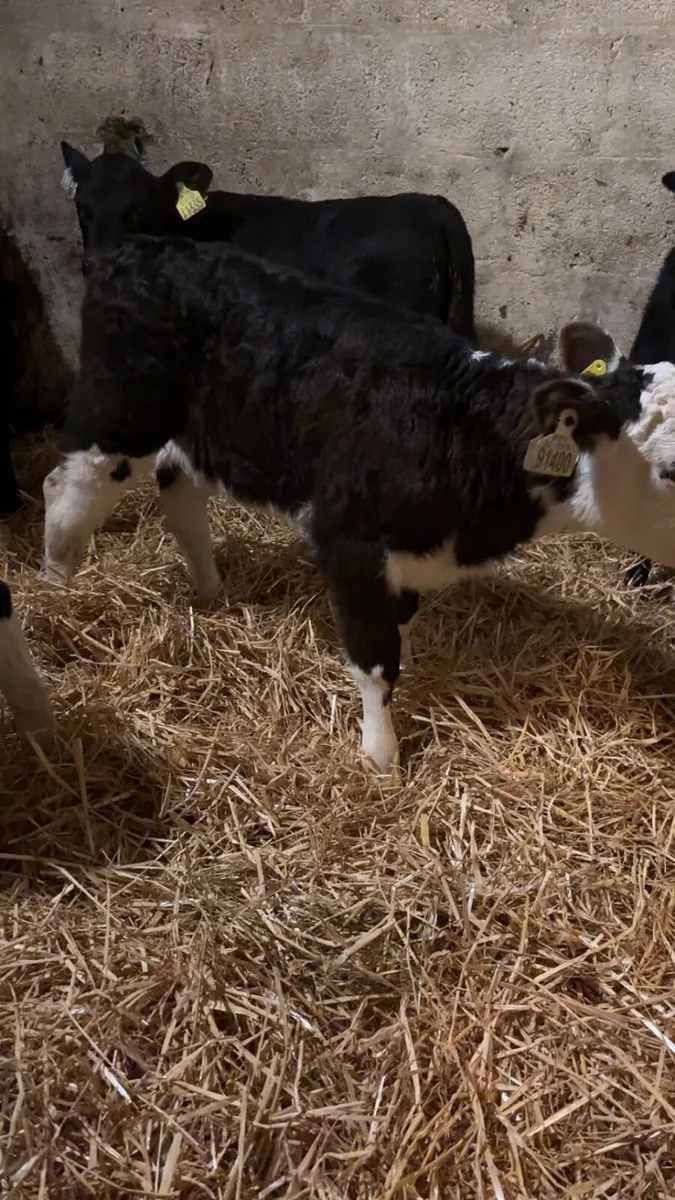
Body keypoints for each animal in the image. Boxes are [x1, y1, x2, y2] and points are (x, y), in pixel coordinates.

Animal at [41, 236, 675, 775]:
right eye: (669, 471)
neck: (463, 428)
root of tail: (138, 247)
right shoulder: (346, 540)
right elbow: (374, 658)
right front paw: (381, 756)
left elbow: (403, 625)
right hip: (118, 414)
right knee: (64, 488)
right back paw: (56, 595)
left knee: (178, 492)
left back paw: (209, 590)